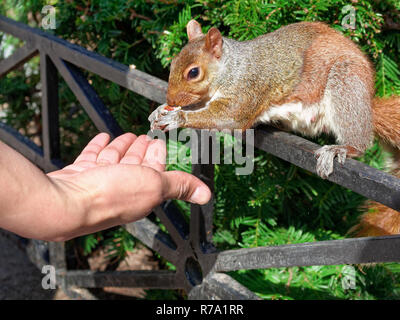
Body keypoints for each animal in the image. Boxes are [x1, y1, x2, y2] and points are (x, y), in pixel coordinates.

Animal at [148, 19, 400, 235]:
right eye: (173, 63)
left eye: (194, 72)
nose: (170, 99)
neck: (232, 69)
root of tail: (367, 105)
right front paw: (161, 110)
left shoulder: (248, 89)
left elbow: (231, 116)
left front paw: (177, 117)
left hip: (347, 83)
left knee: (359, 139)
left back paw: (343, 148)